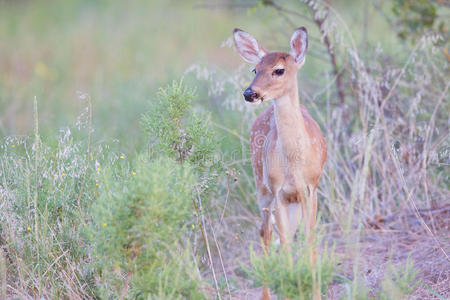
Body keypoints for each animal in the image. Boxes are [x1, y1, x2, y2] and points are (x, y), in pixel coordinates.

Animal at [232, 27, 326, 298]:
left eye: (279, 70)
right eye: (255, 69)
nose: (249, 93)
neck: (294, 164)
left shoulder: (311, 188)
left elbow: (309, 240)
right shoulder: (278, 191)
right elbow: (284, 246)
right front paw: (290, 285)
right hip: (261, 187)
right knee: (266, 232)